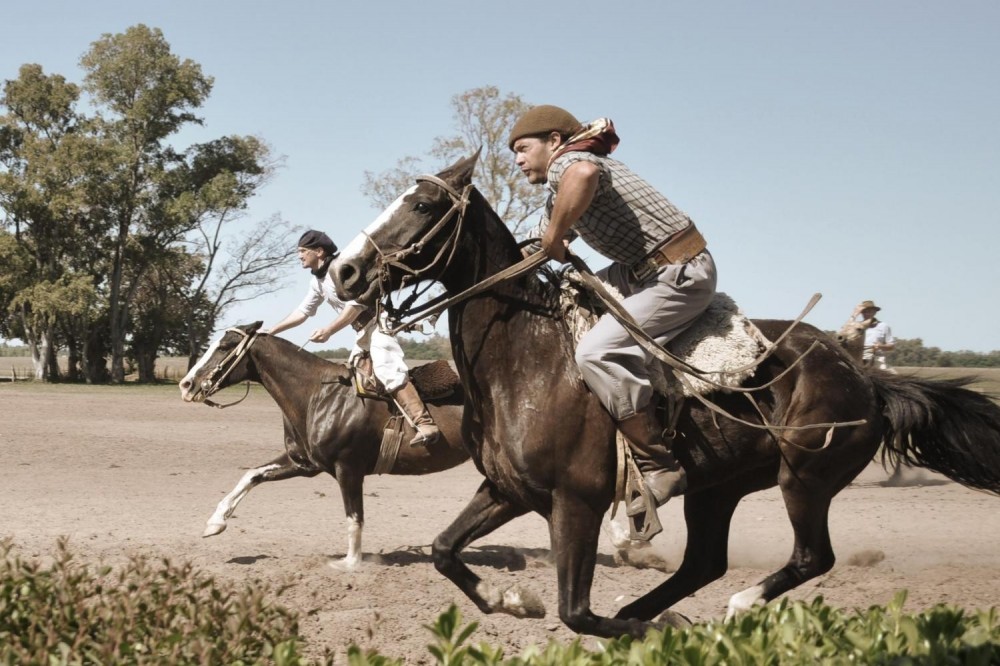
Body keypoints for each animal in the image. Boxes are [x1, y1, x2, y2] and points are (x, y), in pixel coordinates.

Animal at [179, 320, 468, 564]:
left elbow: (354, 517)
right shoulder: (304, 463)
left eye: (224, 346)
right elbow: (252, 474)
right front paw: (215, 522)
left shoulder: (348, 469)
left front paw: (351, 562)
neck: (318, 395)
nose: (186, 384)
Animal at [332, 152, 1000, 640]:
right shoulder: (505, 489)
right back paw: (667, 610)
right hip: (719, 488)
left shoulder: (575, 502)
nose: (344, 271)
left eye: (421, 204)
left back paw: (734, 607)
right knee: (704, 562)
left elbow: (577, 612)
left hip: (805, 479)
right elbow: (445, 550)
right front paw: (513, 599)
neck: (525, 359)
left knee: (811, 558)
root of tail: (866, 378)